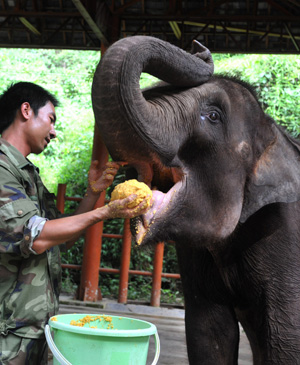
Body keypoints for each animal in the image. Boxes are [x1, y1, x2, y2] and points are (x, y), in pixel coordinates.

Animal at [91, 34, 300, 364]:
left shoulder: (286, 232)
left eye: (213, 116)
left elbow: (286, 339)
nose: (197, 45)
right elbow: (208, 332)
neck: (275, 133)